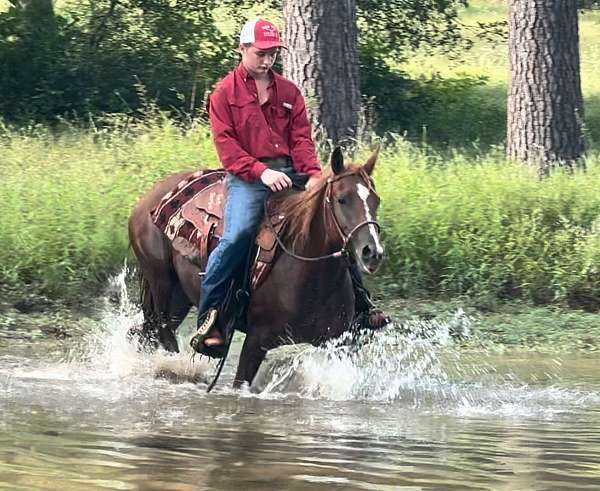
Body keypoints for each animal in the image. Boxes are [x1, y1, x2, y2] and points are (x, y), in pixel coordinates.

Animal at [129, 147, 386, 388]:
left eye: (376, 200)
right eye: (342, 199)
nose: (372, 252)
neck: (309, 275)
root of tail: (147, 201)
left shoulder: (339, 344)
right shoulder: (255, 341)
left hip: (179, 298)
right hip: (161, 285)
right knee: (163, 334)